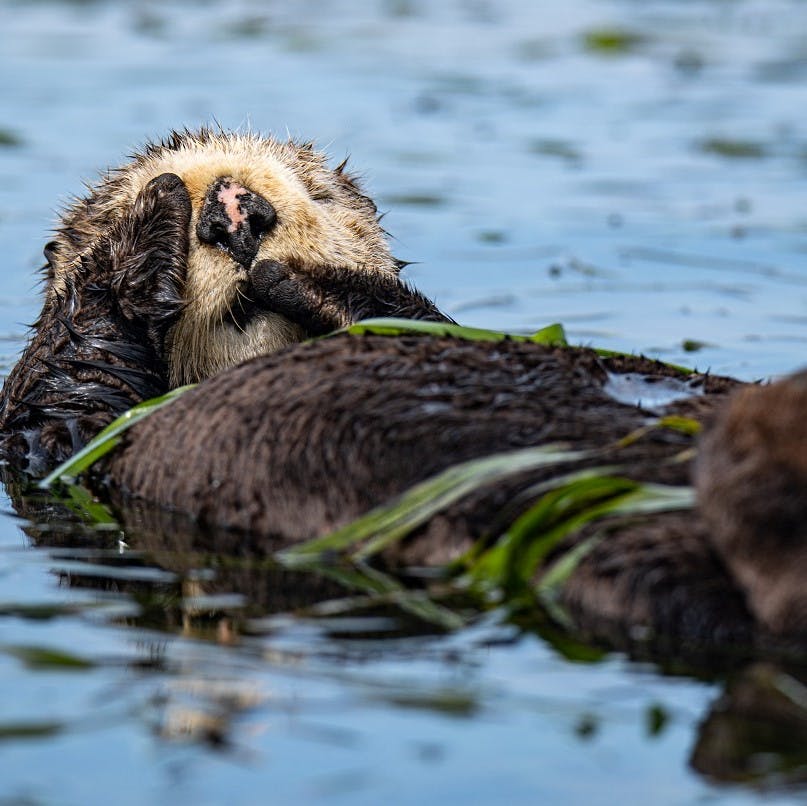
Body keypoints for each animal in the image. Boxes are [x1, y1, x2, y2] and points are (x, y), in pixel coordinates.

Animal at [1, 129, 448, 474]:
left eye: (319, 193)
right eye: (117, 210)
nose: (234, 211)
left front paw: (313, 280)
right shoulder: (42, 440)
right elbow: (52, 425)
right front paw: (153, 213)